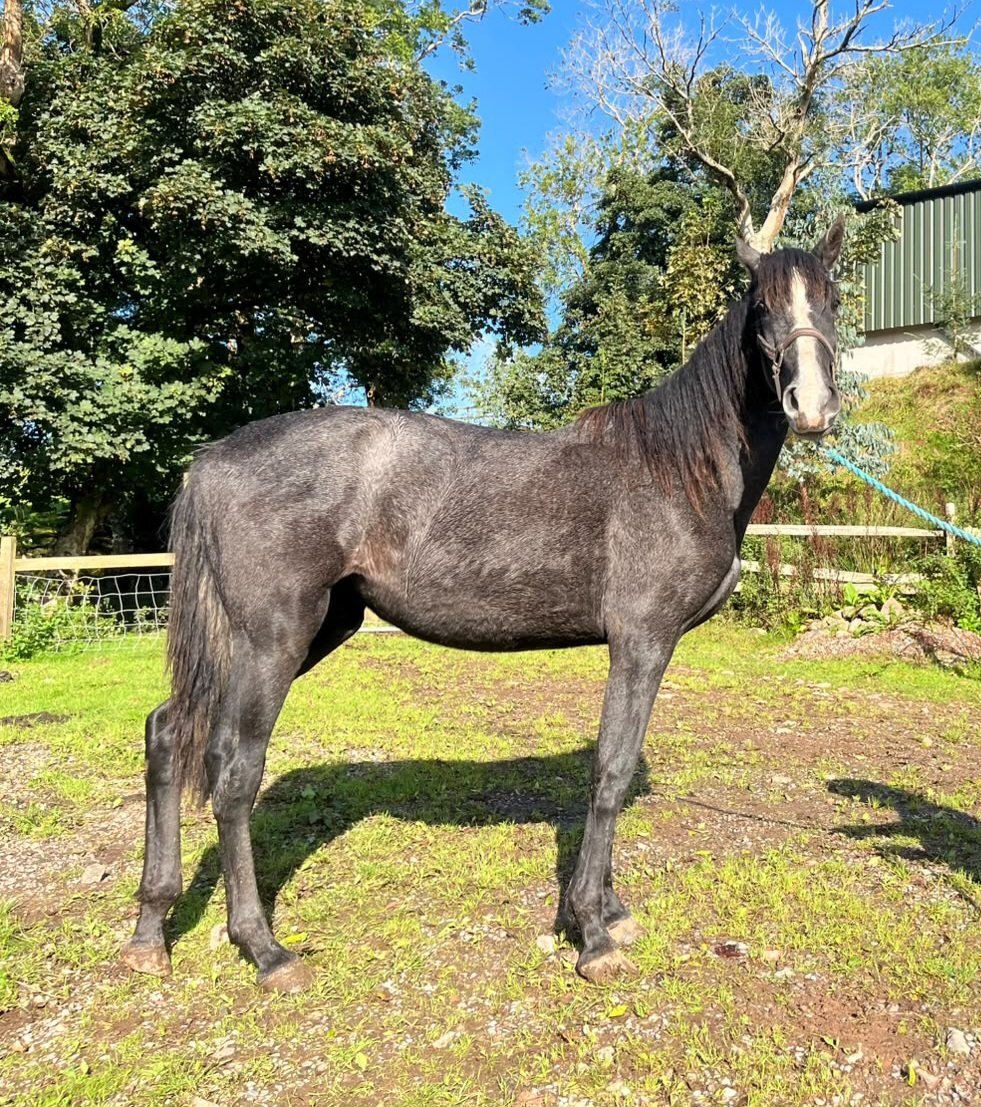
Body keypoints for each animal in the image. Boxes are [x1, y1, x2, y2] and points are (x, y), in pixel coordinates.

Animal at [121, 219, 845, 991]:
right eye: (760, 305)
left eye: (830, 297)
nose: (810, 407)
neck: (678, 471)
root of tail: (212, 458)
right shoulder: (641, 639)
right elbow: (610, 770)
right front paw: (591, 931)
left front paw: (610, 910)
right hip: (273, 636)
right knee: (232, 772)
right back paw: (264, 948)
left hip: (302, 630)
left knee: (169, 731)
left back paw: (150, 930)